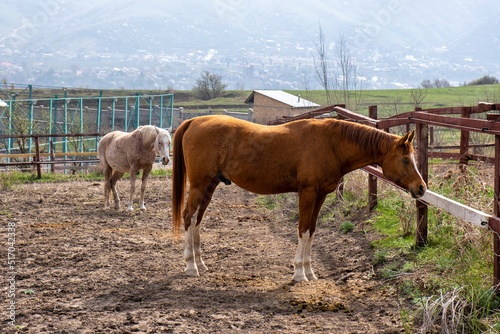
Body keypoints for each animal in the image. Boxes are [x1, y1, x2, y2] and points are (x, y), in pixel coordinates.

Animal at [173, 115, 426, 282]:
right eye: (405, 160)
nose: (422, 188)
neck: (331, 144)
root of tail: (194, 121)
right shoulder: (307, 193)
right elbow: (303, 230)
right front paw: (298, 273)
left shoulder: (320, 196)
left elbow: (311, 231)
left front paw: (310, 271)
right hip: (199, 184)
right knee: (188, 217)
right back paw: (190, 266)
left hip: (210, 185)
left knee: (197, 220)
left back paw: (200, 263)